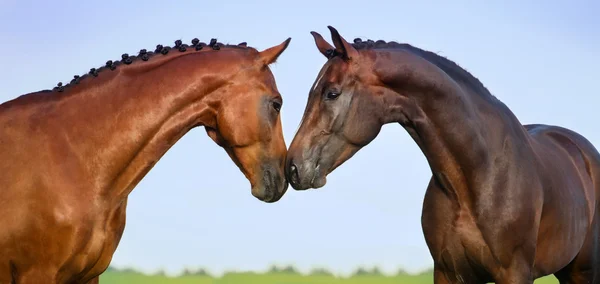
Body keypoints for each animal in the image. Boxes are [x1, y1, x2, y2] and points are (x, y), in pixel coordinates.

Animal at [286, 25, 600, 282]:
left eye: (332, 93)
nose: (292, 167)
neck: (480, 176)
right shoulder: (448, 272)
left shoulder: (515, 273)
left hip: (583, 271)